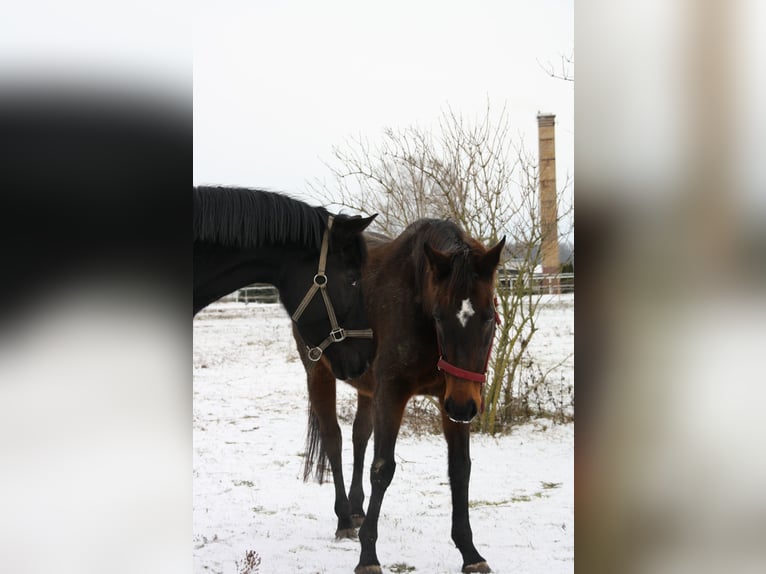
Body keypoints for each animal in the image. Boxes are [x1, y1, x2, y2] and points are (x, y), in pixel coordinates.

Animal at [296, 220, 508, 574]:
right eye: (439, 317)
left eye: (489, 316)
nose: (465, 407)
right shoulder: (392, 393)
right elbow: (383, 469)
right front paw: (368, 557)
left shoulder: (450, 398)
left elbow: (460, 469)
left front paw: (470, 552)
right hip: (319, 373)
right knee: (334, 441)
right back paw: (344, 519)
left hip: (368, 388)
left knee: (359, 436)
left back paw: (356, 509)